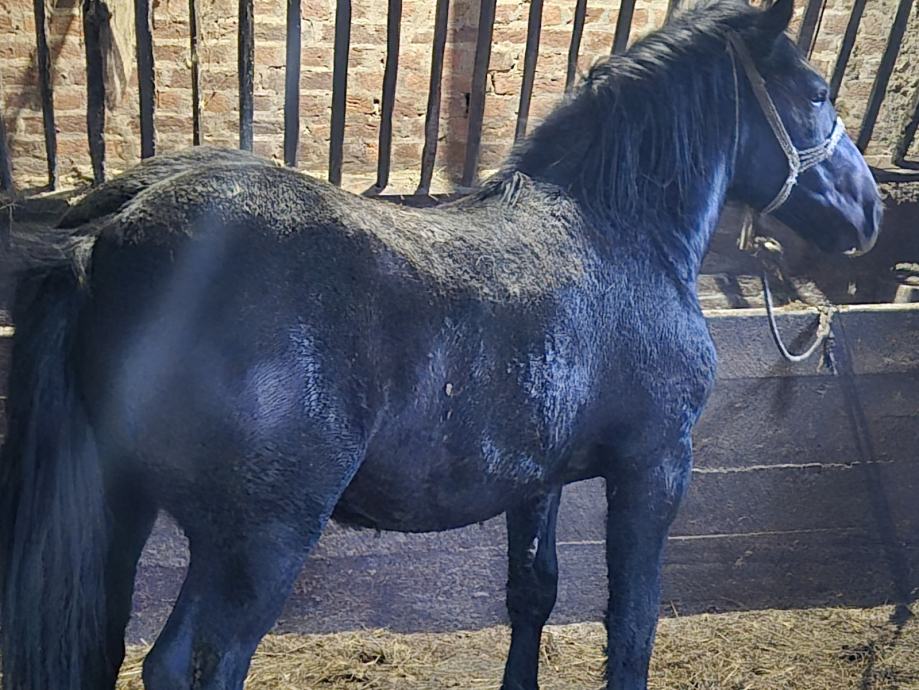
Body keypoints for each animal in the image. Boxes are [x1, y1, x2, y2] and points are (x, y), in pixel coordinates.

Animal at [0, 0, 881, 688]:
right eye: (816, 92)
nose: (869, 209)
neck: (615, 233)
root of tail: (112, 229)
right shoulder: (655, 468)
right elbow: (630, 626)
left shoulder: (538, 480)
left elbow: (534, 595)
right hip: (258, 537)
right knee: (193, 664)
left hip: (127, 512)